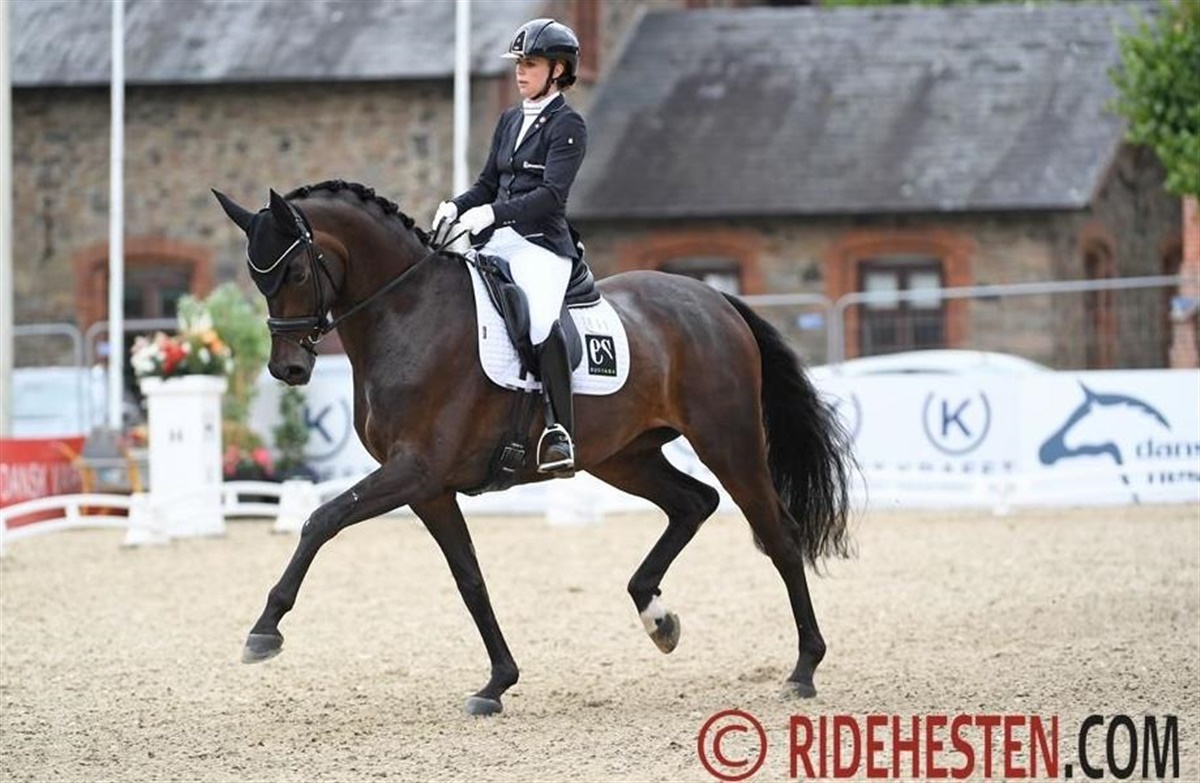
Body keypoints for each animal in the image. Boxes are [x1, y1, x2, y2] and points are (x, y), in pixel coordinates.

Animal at [213, 180, 853, 715]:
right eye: (257, 278)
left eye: (296, 273)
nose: (288, 369)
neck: (408, 313)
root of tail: (715, 302)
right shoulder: (428, 487)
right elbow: (469, 579)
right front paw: (497, 682)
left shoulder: (415, 470)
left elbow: (320, 519)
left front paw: (264, 630)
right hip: (624, 455)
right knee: (693, 503)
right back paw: (657, 617)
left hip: (729, 440)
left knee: (777, 534)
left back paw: (803, 670)